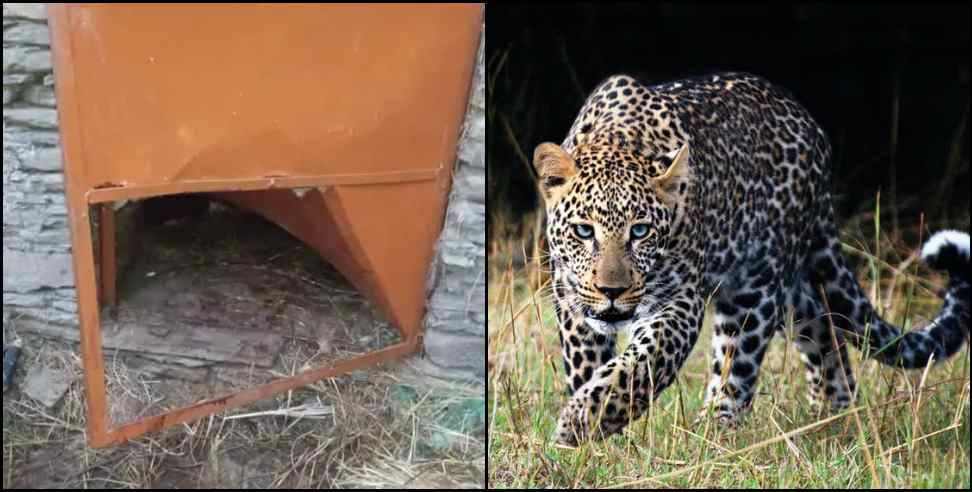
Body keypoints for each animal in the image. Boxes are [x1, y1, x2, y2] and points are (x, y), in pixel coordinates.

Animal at [532, 72, 972, 446]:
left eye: (640, 231)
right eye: (584, 231)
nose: (612, 290)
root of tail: (813, 132)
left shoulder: (680, 300)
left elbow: (642, 366)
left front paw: (579, 424)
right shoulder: (570, 295)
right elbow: (588, 364)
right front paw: (597, 439)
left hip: (756, 288)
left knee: (736, 370)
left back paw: (713, 435)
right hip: (792, 296)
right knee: (824, 328)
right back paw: (832, 419)